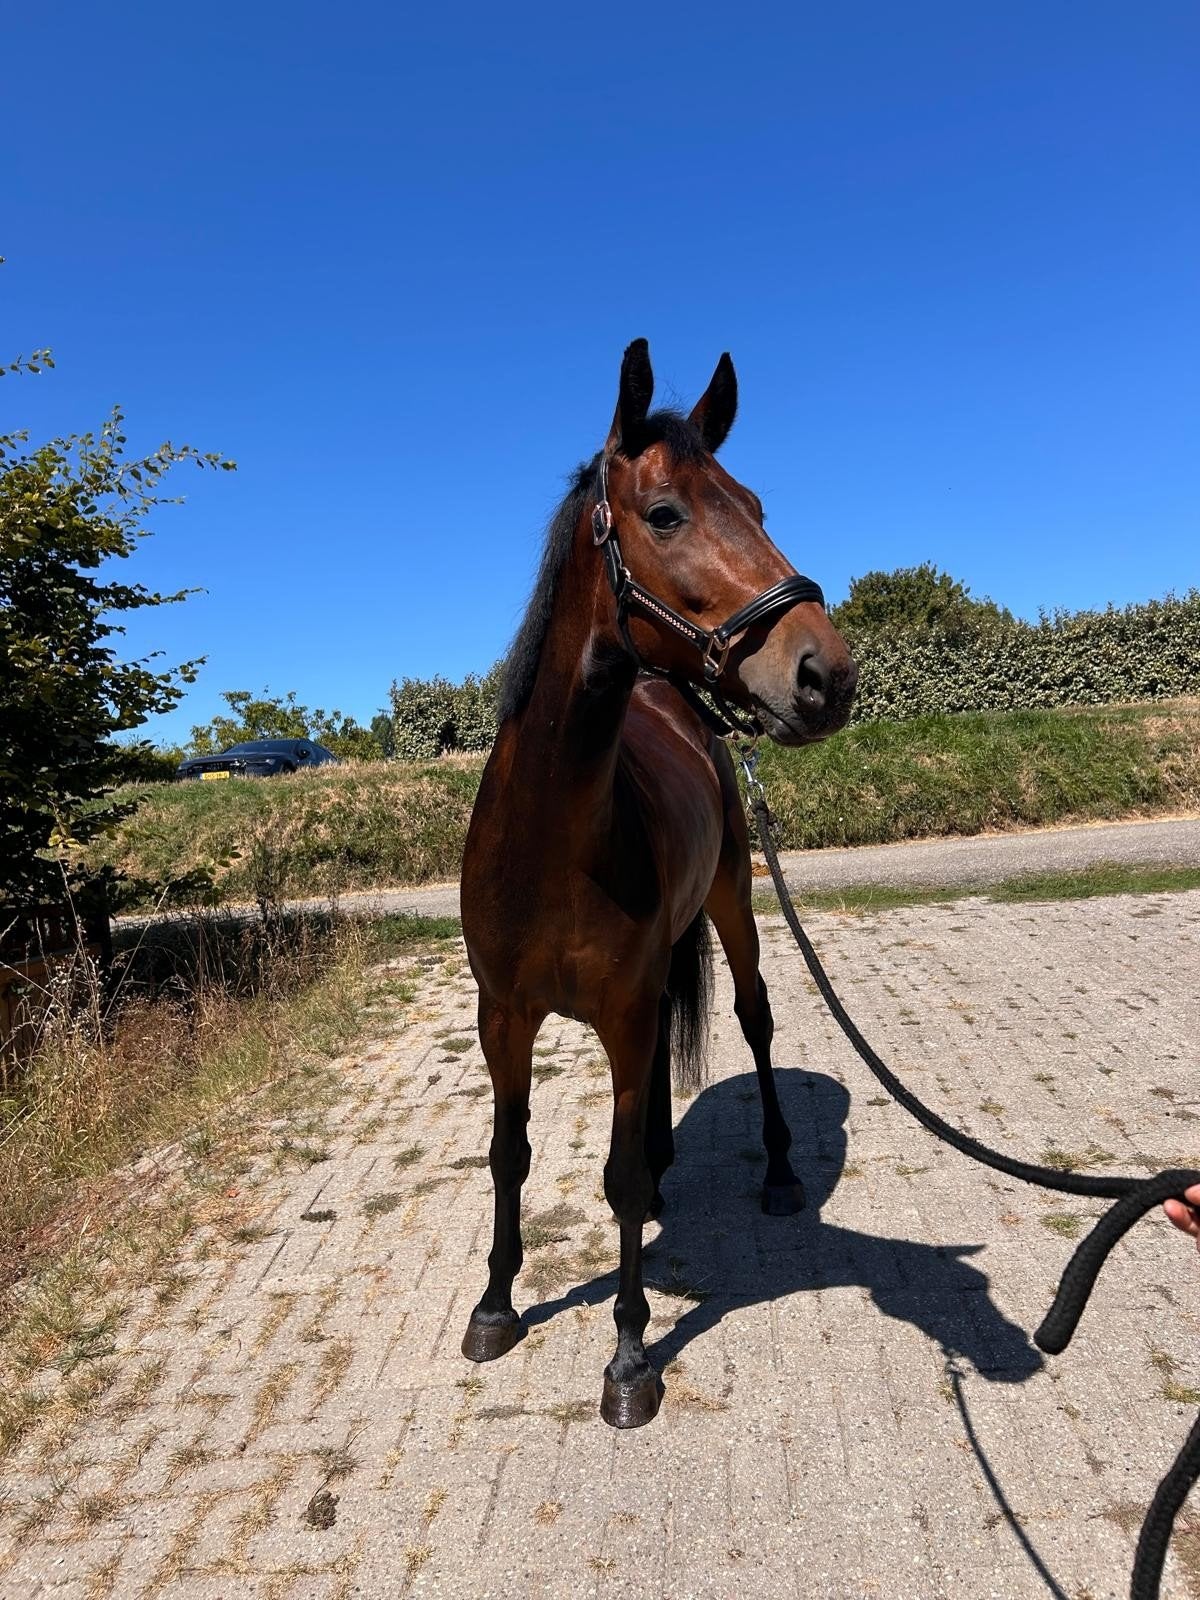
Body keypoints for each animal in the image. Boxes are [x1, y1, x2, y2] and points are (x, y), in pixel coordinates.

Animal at [459, 340, 858, 1427]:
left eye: (756, 504)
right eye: (667, 513)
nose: (826, 675)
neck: (551, 838)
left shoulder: (628, 1013)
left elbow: (622, 1175)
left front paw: (631, 1357)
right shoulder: (503, 1014)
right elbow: (512, 1153)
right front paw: (496, 1303)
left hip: (733, 907)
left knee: (757, 1024)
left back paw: (776, 1171)